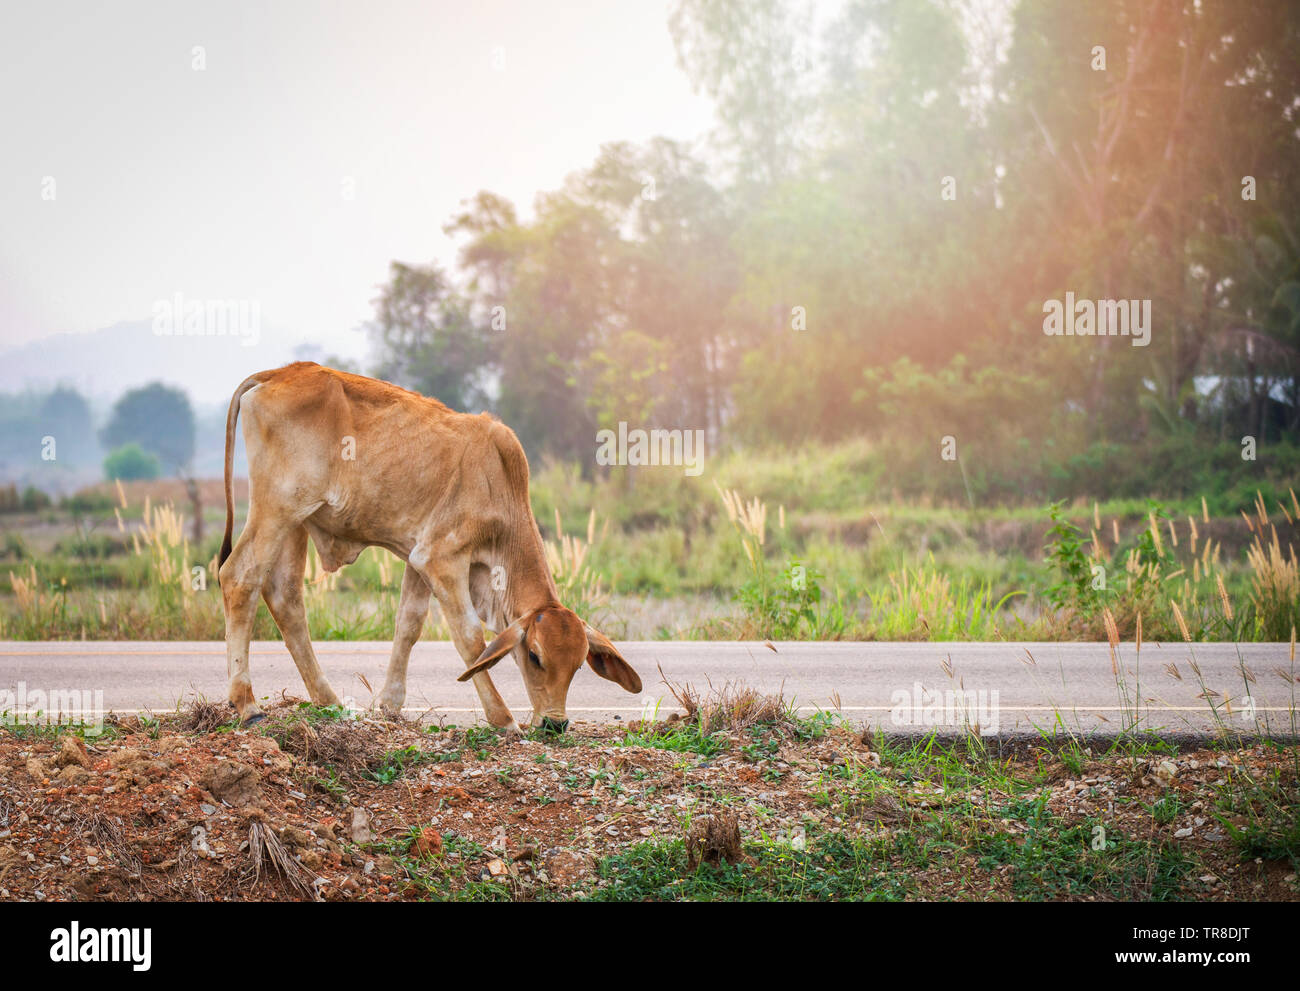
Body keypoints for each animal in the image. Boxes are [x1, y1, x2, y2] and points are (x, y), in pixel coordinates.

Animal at [217, 362, 641, 734]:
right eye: (535, 656)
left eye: (578, 666)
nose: (555, 723)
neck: (499, 486)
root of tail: (276, 373)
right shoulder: (441, 559)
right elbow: (470, 639)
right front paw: (503, 719)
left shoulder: (416, 558)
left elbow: (409, 624)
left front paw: (388, 705)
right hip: (277, 509)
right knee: (239, 577)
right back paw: (247, 704)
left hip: (297, 523)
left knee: (285, 597)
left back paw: (329, 701)